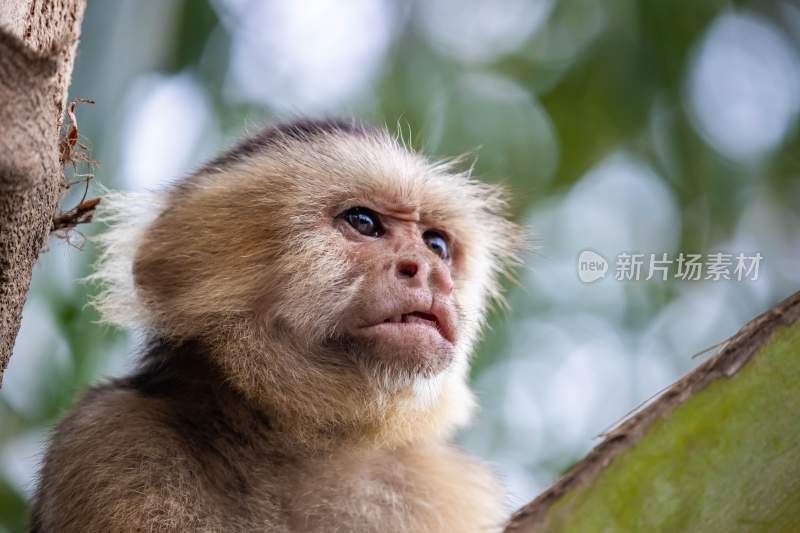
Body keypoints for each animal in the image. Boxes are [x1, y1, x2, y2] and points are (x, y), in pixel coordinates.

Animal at [31, 120, 520, 532]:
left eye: (436, 245)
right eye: (363, 222)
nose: (430, 271)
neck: (298, 441)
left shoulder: (446, 486)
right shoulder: (110, 439)